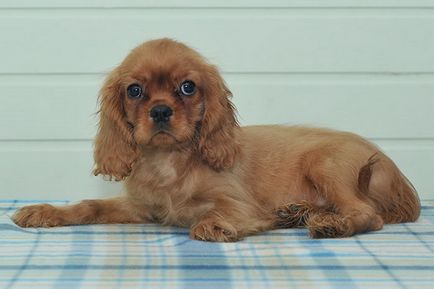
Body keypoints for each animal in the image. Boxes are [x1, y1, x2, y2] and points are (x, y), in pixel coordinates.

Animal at [12, 38, 420, 241]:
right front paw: (46, 211)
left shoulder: (238, 203)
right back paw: (298, 213)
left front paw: (214, 225)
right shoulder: (141, 209)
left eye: (187, 87)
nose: (161, 111)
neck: (169, 163)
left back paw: (330, 224)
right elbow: (89, 205)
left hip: (326, 164)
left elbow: (216, 213)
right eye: (135, 91)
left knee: (366, 213)